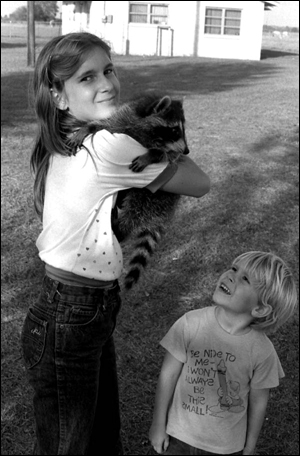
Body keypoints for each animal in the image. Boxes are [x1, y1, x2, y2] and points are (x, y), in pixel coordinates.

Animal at [69, 93, 189, 288]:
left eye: (182, 130)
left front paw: (154, 154)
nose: (187, 150)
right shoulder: (120, 122)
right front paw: (87, 127)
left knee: (135, 211)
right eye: (175, 130)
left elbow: (170, 155)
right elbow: (103, 124)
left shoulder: (170, 151)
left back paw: (119, 229)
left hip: (153, 195)